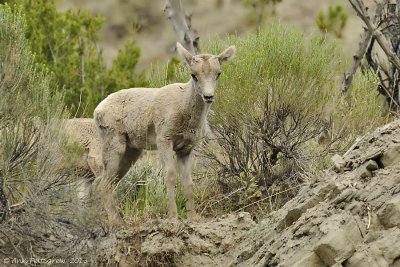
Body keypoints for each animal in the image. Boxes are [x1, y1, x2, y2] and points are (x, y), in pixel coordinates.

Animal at [94, 42, 236, 222]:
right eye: (193, 75)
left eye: (218, 73)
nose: (208, 96)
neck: (185, 109)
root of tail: (98, 110)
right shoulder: (164, 140)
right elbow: (170, 176)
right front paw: (173, 216)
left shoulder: (185, 149)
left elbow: (188, 182)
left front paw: (193, 217)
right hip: (114, 146)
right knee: (103, 184)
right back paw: (116, 222)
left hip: (131, 152)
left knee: (105, 182)